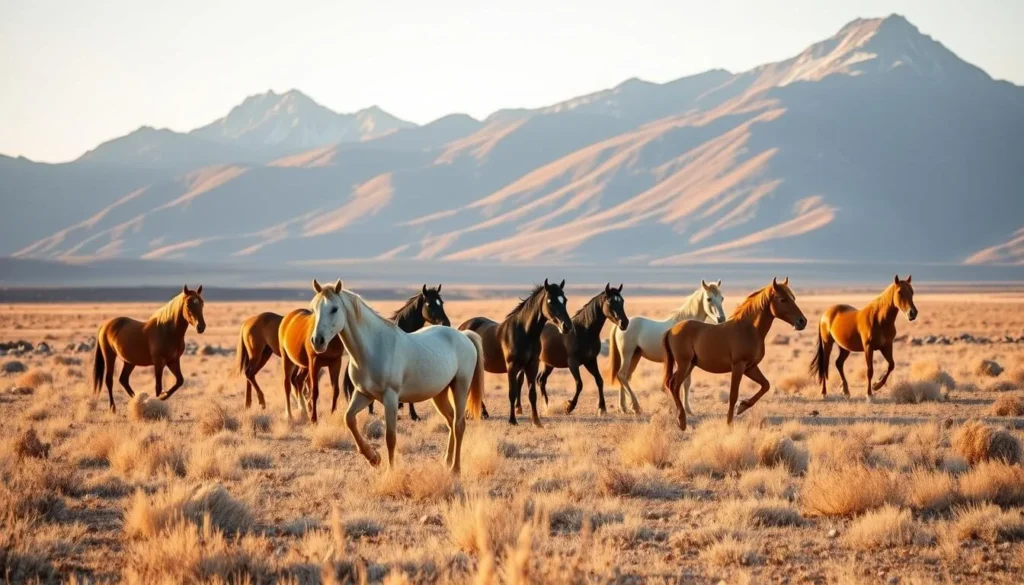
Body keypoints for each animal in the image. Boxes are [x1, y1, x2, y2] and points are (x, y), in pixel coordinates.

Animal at [459, 279, 573, 427]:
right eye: (550, 301)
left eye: (564, 300)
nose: (567, 326)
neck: (525, 333)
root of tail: (461, 327)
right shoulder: (512, 367)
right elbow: (512, 393)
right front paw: (512, 420)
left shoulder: (532, 365)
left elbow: (532, 393)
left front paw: (537, 421)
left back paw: (482, 413)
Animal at [536, 284, 629, 416]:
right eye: (610, 301)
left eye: (622, 301)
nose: (624, 323)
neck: (583, 332)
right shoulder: (573, 363)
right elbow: (579, 384)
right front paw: (569, 406)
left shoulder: (590, 361)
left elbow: (599, 381)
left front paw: (602, 408)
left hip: (548, 364)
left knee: (541, 380)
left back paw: (546, 406)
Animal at [608, 280, 725, 415]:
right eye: (709, 299)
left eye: (722, 298)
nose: (721, 319)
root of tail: (620, 325)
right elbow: (680, 383)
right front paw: (679, 408)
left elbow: (687, 383)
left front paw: (687, 410)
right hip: (627, 354)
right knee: (622, 375)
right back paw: (635, 406)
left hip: (635, 356)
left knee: (624, 376)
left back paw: (624, 408)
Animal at [662, 278, 807, 430]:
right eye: (782, 299)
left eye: (793, 298)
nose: (802, 321)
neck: (749, 329)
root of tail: (671, 330)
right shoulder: (738, 366)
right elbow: (733, 395)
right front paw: (729, 423)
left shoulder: (750, 367)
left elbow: (765, 385)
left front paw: (743, 406)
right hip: (684, 364)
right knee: (674, 386)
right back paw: (682, 421)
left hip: (689, 365)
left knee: (672, 384)